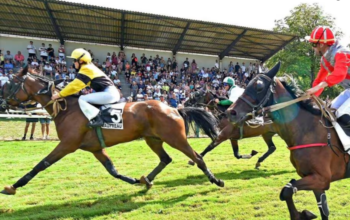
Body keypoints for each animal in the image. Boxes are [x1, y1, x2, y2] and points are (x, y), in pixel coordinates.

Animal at [0, 65, 224, 194]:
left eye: (9, 84)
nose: (2, 104)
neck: (67, 109)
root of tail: (174, 107)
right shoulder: (95, 148)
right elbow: (113, 170)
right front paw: (134, 180)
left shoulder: (67, 145)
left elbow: (41, 164)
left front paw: (13, 186)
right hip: (153, 139)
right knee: (165, 159)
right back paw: (146, 180)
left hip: (175, 138)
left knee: (197, 157)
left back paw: (216, 180)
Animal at [227, 62, 350, 220]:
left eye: (259, 86)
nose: (231, 112)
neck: (307, 130)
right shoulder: (315, 181)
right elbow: (317, 206)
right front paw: (304, 214)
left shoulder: (322, 178)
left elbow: (287, 190)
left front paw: (301, 214)